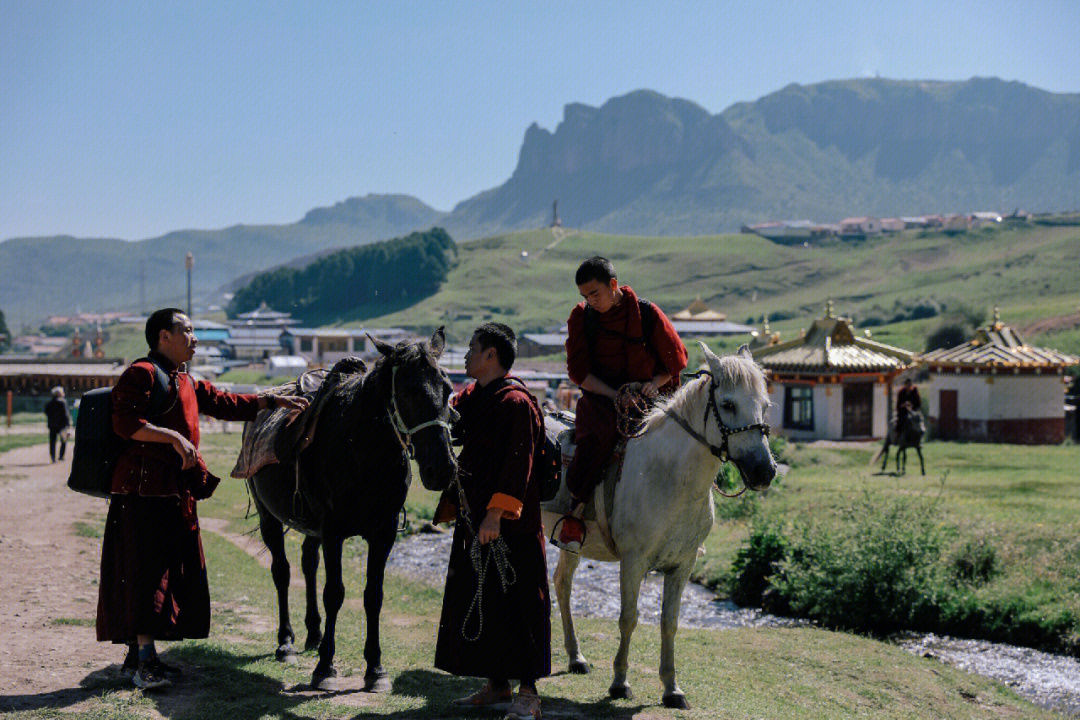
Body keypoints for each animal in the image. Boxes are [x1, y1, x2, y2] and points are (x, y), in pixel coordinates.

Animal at [247, 330, 455, 690]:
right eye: (408, 390)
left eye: (447, 388)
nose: (441, 469)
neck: (360, 448)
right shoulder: (334, 531)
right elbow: (334, 593)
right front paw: (325, 667)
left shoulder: (383, 533)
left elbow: (373, 595)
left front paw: (375, 668)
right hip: (268, 517)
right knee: (282, 572)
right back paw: (286, 642)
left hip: (310, 526)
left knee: (308, 563)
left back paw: (313, 633)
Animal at [540, 343, 777, 708]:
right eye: (728, 404)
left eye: (764, 406)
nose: (764, 471)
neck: (671, 479)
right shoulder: (633, 562)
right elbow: (629, 618)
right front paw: (619, 683)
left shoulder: (683, 565)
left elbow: (669, 622)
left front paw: (672, 688)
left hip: (570, 543)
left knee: (562, 584)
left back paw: (576, 657)